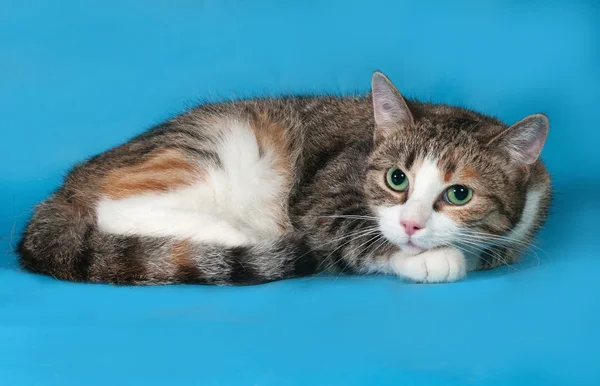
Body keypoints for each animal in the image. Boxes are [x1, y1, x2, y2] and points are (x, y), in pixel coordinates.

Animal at [17, 71, 552, 284]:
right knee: (118, 206)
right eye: (397, 179)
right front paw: (431, 257)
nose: (412, 223)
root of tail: (70, 182)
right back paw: (236, 235)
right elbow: (356, 235)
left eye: (459, 193)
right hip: (219, 144)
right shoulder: (321, 199)